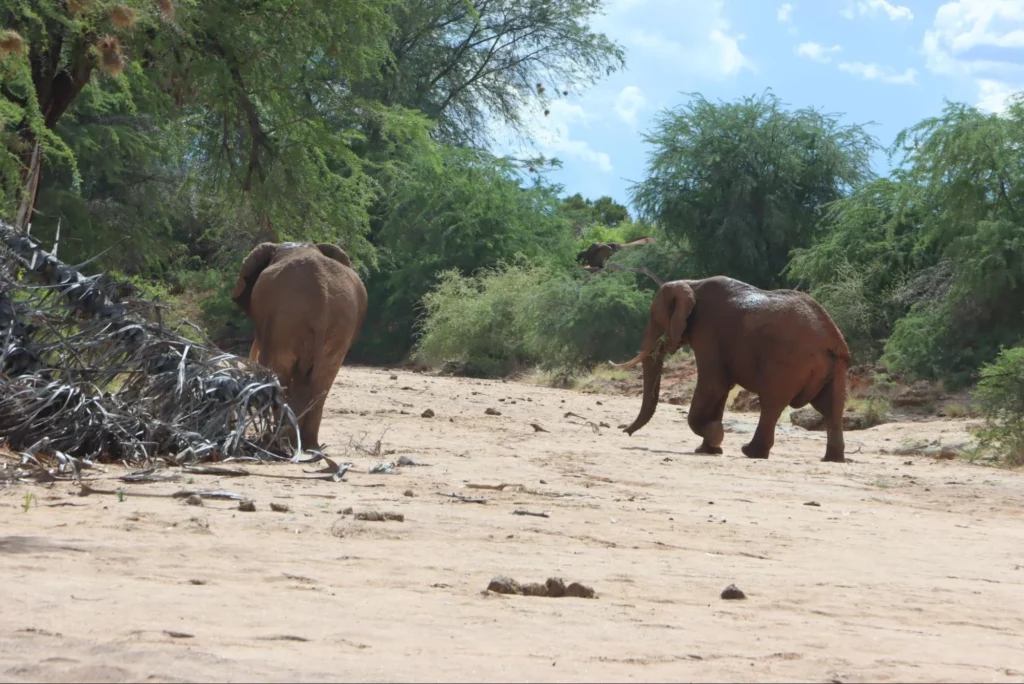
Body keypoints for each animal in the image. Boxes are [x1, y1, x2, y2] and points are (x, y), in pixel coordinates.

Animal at [230, 241, 366, 454]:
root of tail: (322, 296)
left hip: (286, 321)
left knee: (281, 372)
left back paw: (279, 444)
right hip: (339, 324)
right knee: (322, 379)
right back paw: (308, 446)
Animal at [614, 274, 847, 462]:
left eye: (654, 318)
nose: (626, 432)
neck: (692, 283)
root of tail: (831, 336)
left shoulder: (707, 331)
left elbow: (713, 385)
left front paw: (715, 435)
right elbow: (721, 389)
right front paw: (708, 449)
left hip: (788, 363)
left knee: (771, 404)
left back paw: (750, 452)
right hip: (835, 366)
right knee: (832, 407)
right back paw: (832, 459)